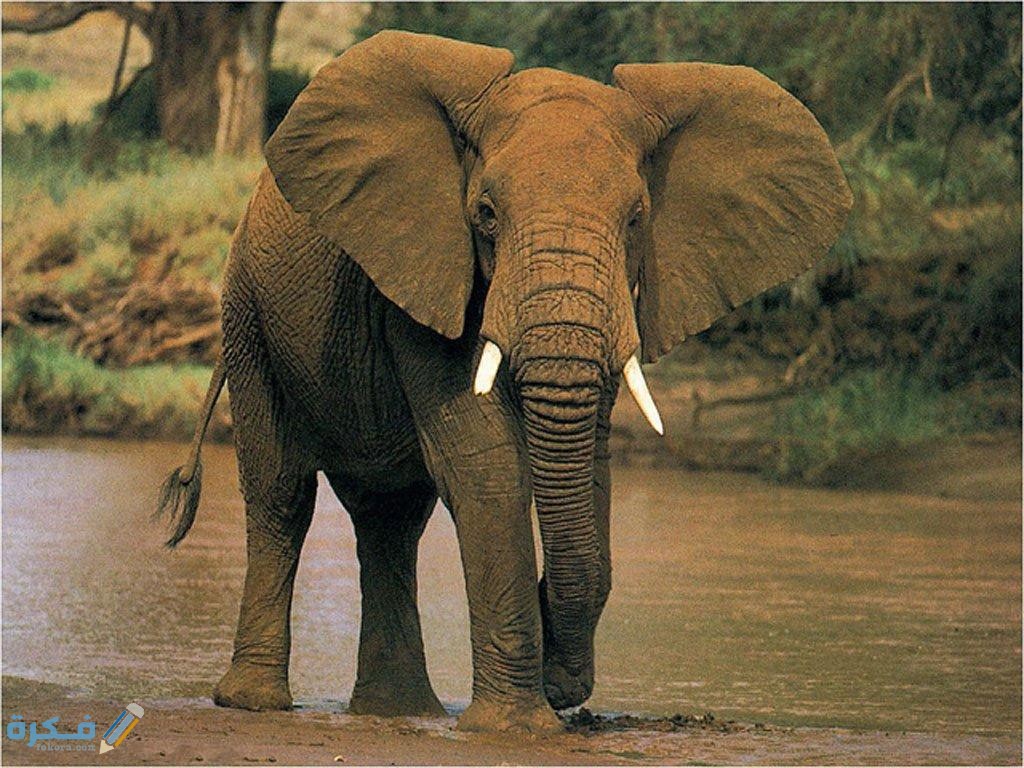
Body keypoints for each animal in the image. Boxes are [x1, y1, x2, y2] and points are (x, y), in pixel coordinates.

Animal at [156, 30, 851, 733]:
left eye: (636, 219)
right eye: (486, 215)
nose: (564, 684)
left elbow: (587, 462)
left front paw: (549, 685)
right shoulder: (429, 268)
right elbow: (486, 464)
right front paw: (516, 726)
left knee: (390, 520)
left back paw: (399, 712)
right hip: (248, 317)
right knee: (283, 494)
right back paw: (257, 702)